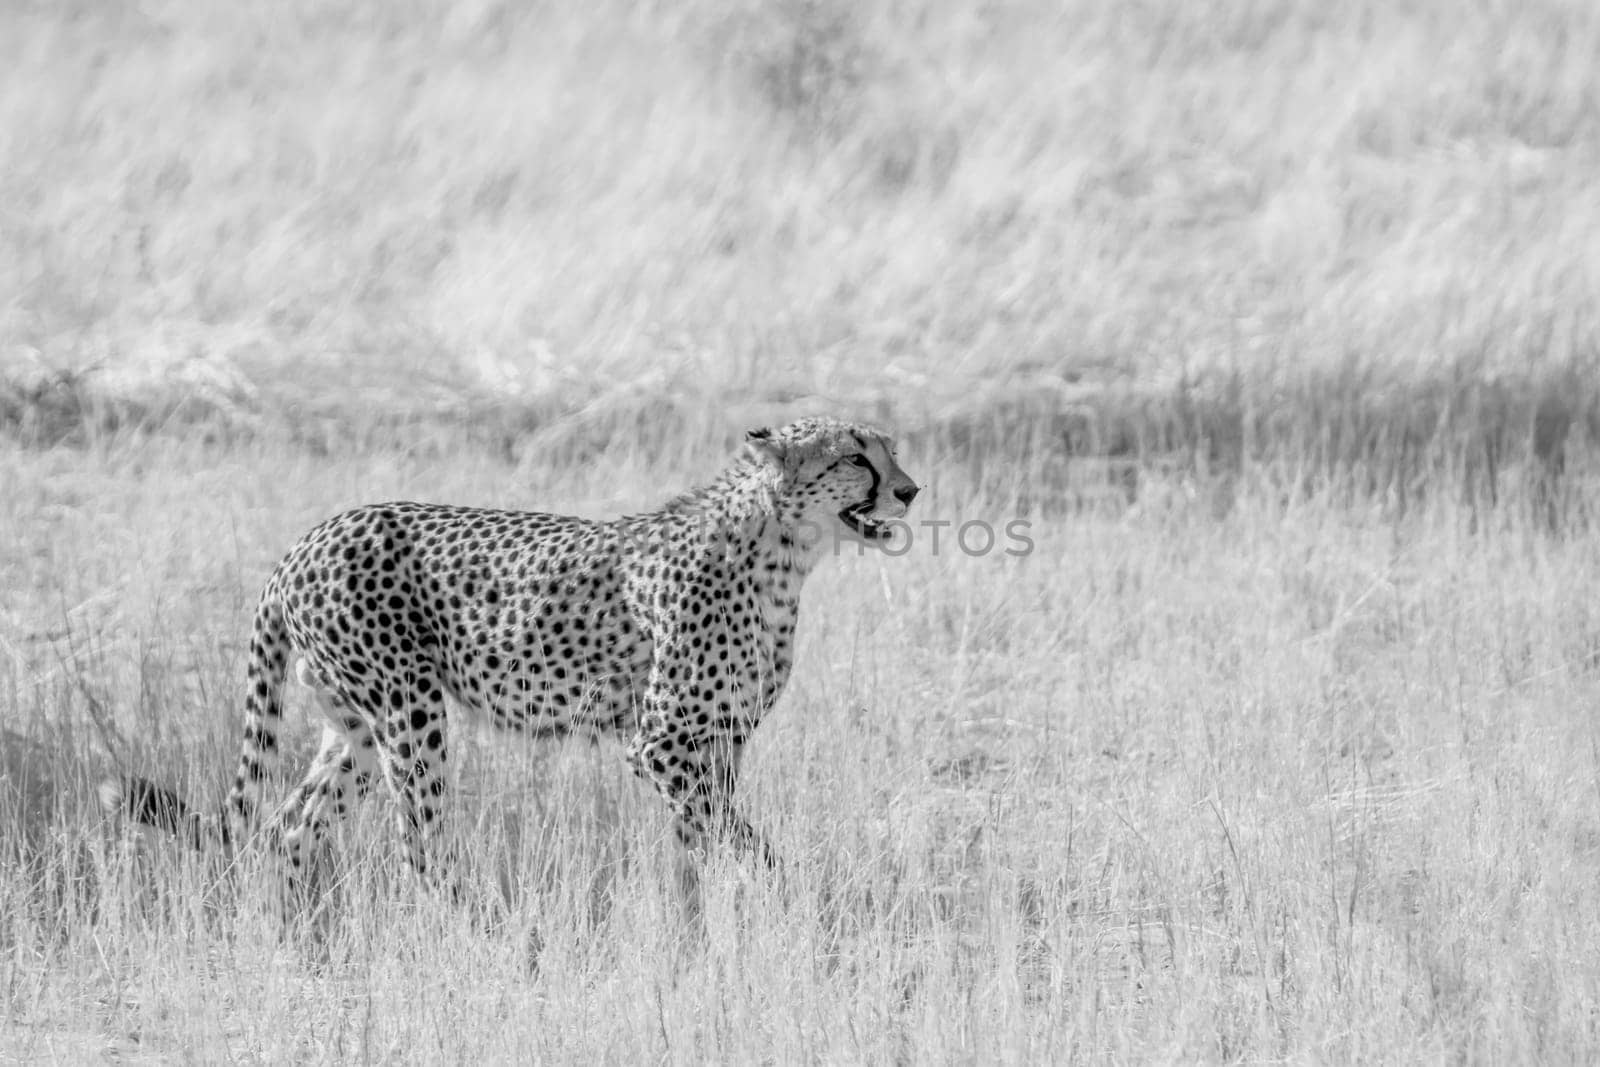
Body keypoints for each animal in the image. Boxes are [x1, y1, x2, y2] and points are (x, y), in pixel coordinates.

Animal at [100, 415, 921, 895]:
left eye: (890, 449)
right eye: (857, 457)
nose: (910, 490)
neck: (785, 550)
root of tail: (309, 538)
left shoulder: (718, 739)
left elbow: (705, 838)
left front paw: (708, 916)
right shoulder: (661, 742)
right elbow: (734, 834)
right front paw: (776, 895)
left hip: (355, 728)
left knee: (288, 829)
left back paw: (298, 941)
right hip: (409, 712)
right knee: (417, 846)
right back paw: (466, 935)